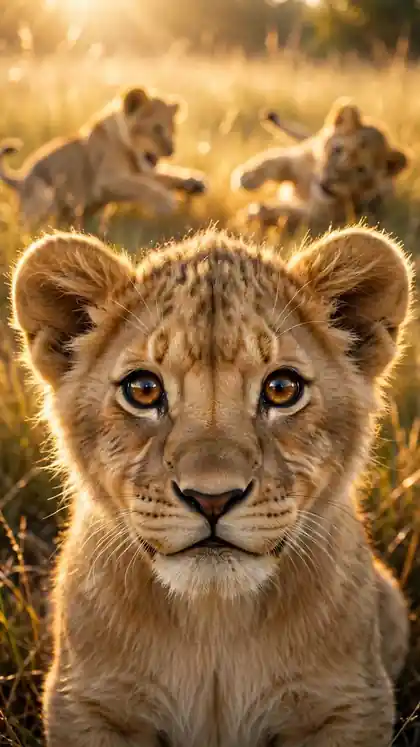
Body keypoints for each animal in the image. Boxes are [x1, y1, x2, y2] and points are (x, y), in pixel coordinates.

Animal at [0, 86, 207, 230]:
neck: (130, 151)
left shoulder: (140, 171)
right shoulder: (106, 182)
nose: (172, 150)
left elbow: (164, 176)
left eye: (173, 130)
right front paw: (165, 201)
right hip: (42, 193)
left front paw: (194, 182)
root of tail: (20, 180)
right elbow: (141, 186)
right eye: (157, 128)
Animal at [12, 226, 411, 747]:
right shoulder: (90, 703)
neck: (213, 618)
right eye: (143, 390)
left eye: (282, 389)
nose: (212, 498)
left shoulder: (347, 703)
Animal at [231, 98, 408, 237]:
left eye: (360, 170)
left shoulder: (322, 220)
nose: (327, 183)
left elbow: (291, 216)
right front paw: (246, 178)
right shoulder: (299, 162)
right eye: (338, 150)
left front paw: (256, 212)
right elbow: (274, 161)